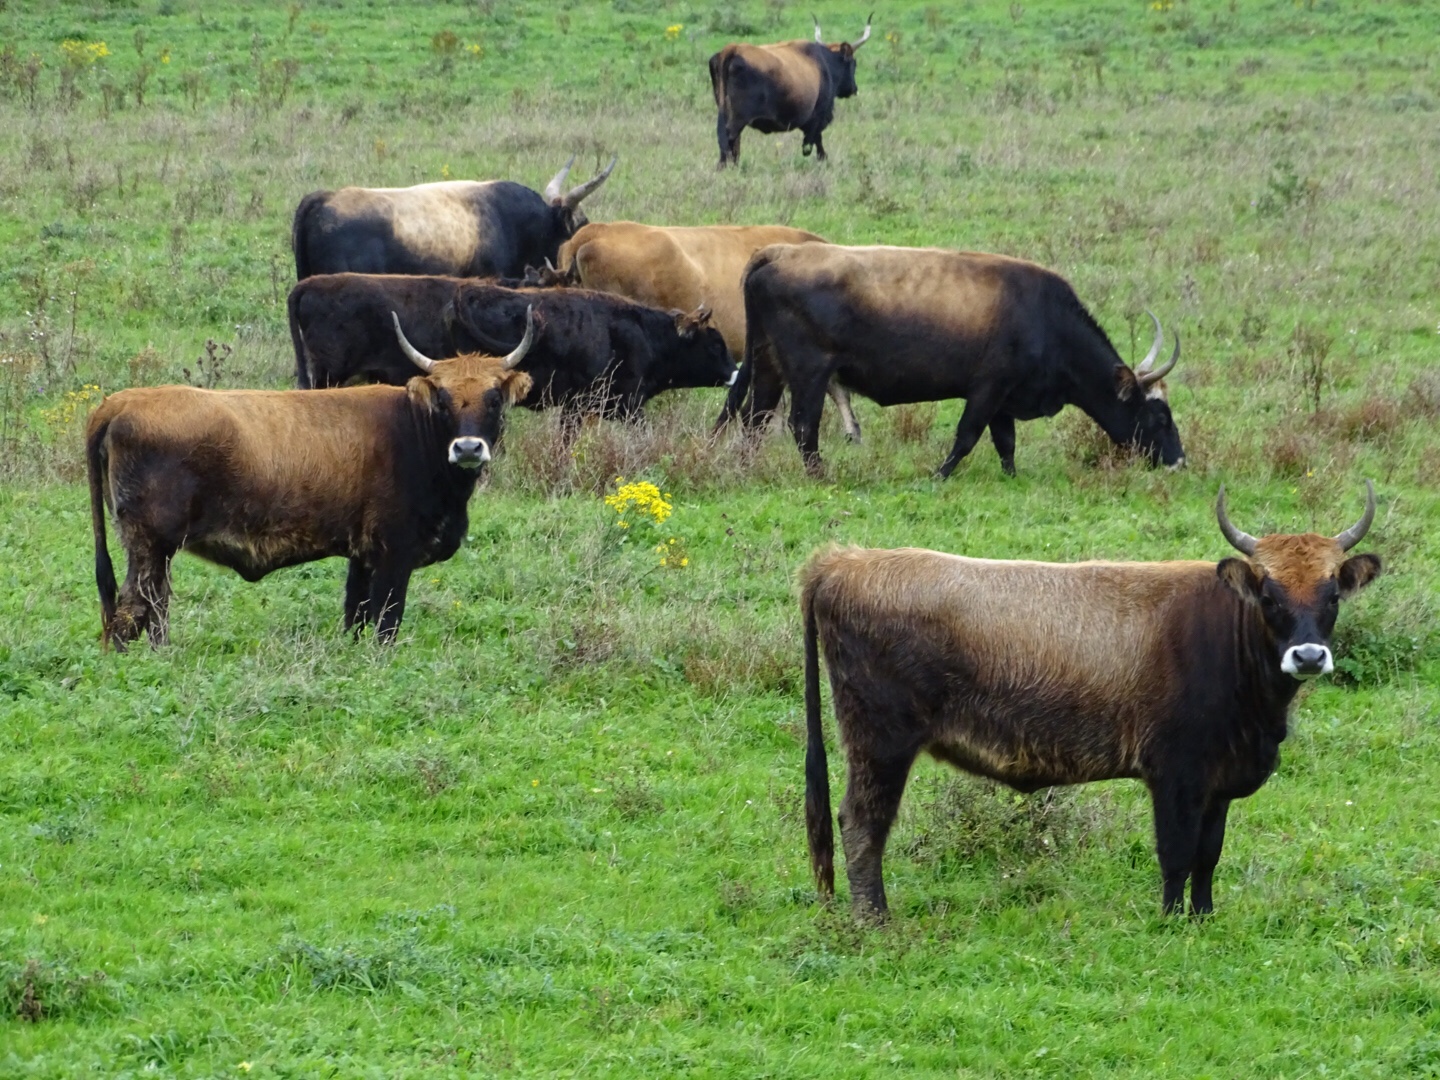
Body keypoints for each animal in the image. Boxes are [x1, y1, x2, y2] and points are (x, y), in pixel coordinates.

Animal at [90, 308, 541, 648]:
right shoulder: (394, 554)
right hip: (151, 545)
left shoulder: (363, 556)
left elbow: (355, 617)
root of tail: (122, 401)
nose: (467, 448)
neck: (415, 430)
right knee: (133, 611)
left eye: (494, 398)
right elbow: (386, 625)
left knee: (152, 610)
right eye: (443, 400)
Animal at [705, 14, 864, 167]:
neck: (825, 62)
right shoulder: (817, 118)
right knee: (728, 139)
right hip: (738, 118)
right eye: (853, 63)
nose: (854, 88)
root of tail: (733, 48)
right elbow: (815, 145)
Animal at [725, 249, 1186, 480]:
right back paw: (820, 476)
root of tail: (778, 254)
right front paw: (939, 476)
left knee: (754, 418)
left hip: (769, 367)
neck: (1045, 318)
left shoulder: (1003, 400)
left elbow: (1005, 443)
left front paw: (1011, 477)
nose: (1180, 462)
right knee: (801, 425)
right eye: (1159, 416)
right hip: (810, 372)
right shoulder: (987, 388)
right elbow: (967, 436)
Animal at [806, 486, 1376, 915]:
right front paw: (1172, 921)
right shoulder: (1176, 774)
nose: (1308, 656)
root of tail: (843, 561)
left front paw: (1204, 916)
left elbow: (1207, 856)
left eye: (1331, 595)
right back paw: (874, 919)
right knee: (862, 822)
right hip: (880, 743)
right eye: (1269, 596)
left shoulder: (1217, 784)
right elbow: (1176, 853)